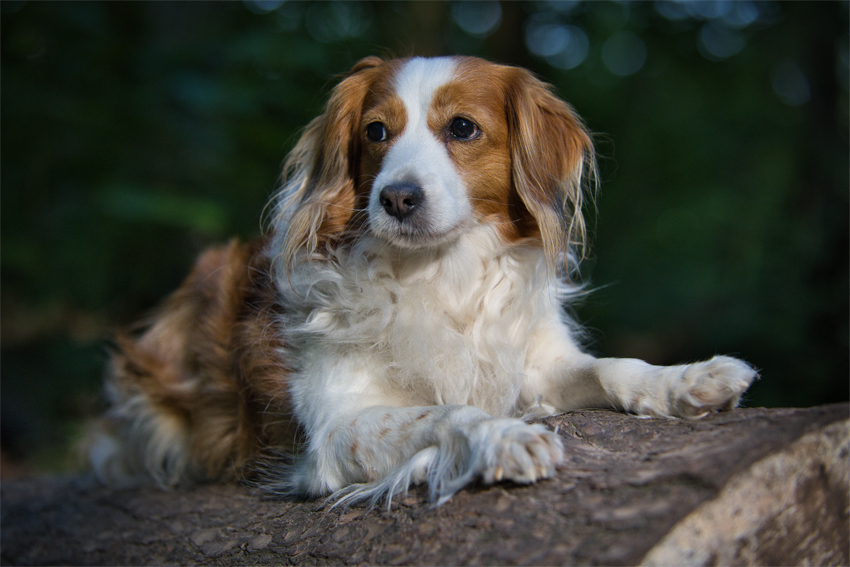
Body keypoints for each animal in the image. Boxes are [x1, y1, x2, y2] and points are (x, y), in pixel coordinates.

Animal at [89, 55, 756, 508]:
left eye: (462, 128)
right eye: (375, 132)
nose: (397, 197)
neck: (441, 274)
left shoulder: (533, 364)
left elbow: (614, 367)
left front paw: (688, 379)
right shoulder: (336, 429)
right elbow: (443, 413)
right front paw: (500, 437)